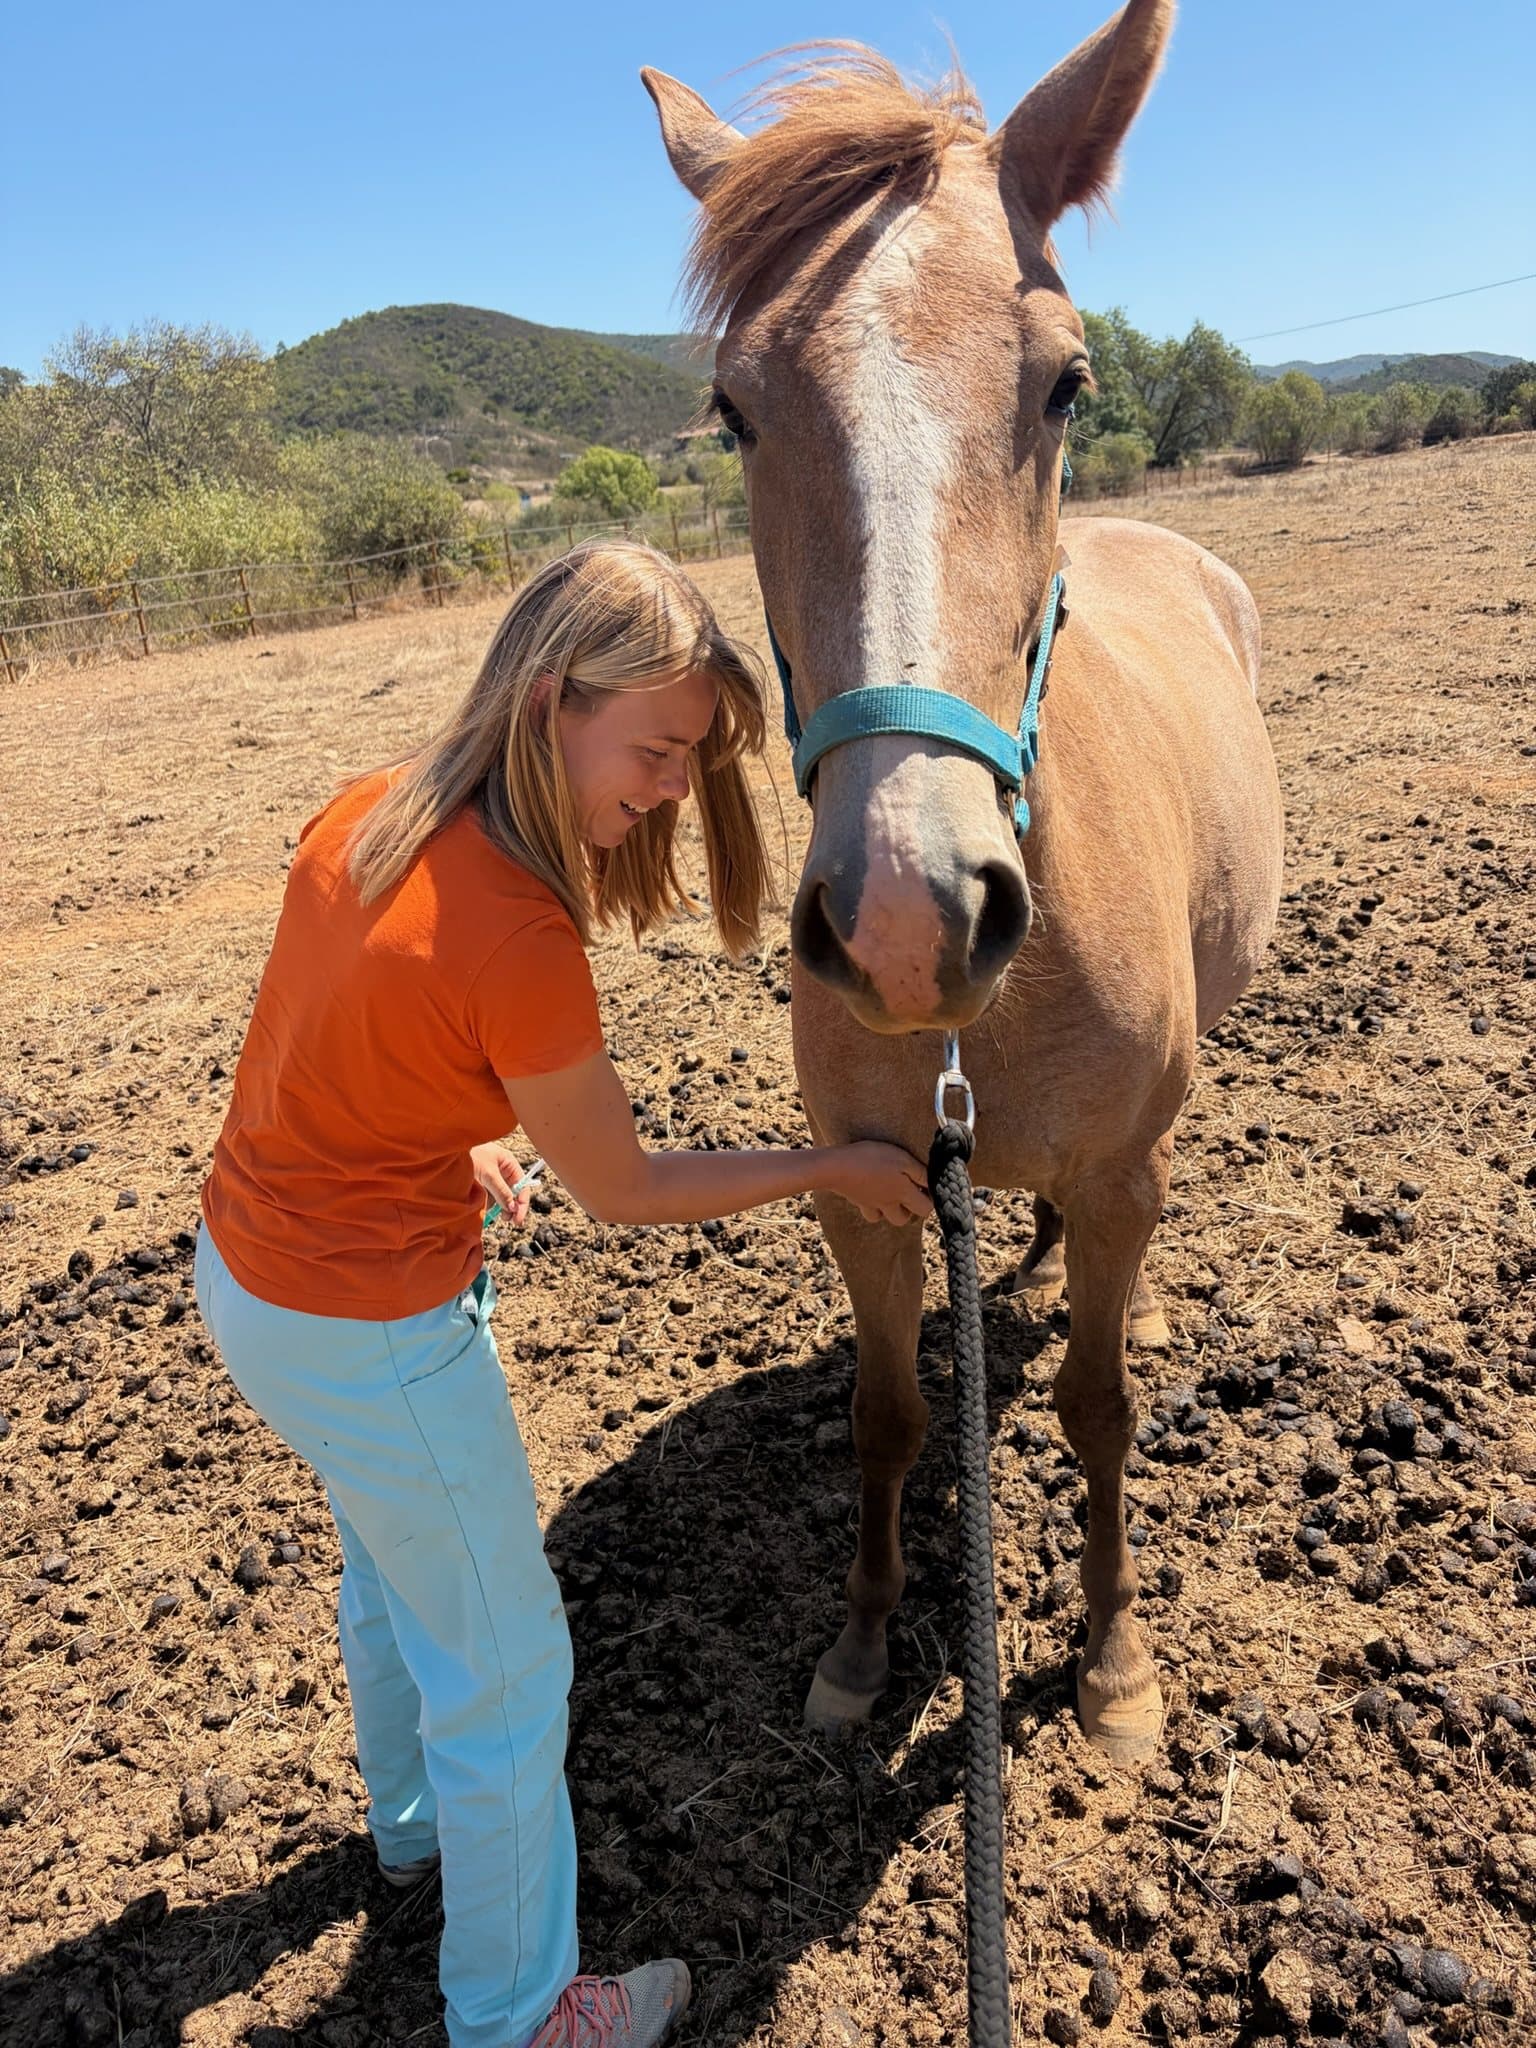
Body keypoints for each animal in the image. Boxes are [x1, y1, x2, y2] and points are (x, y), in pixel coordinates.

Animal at [644, 0, 1283, 1764]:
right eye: (733, 409)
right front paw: (863, 1647)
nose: (908, 916)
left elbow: (1096, 1407)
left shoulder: (1126, 1168)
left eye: (1068, 382)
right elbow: (887, 1409)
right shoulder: (860, 1186)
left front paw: (1115, 1663)